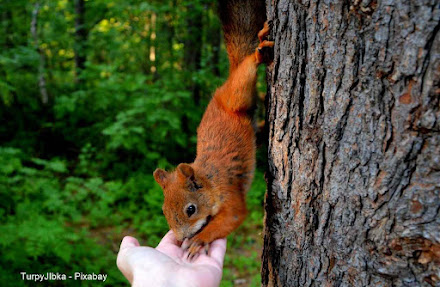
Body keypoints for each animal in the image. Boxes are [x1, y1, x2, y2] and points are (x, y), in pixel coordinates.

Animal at [153, 0, 274, 260]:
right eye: (164, 210)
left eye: (191, 209)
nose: (181, 238)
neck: (208, 181)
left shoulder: (228, 193)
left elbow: (232, 217)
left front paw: (199, 241)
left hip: (236, 96)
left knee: (245, 72)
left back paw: (259, 49)